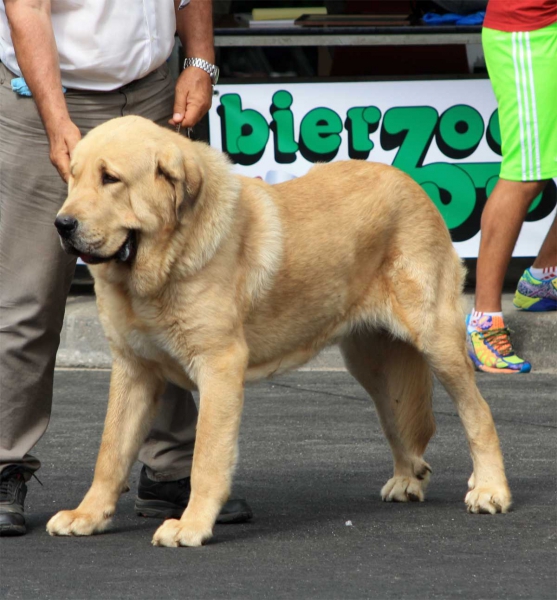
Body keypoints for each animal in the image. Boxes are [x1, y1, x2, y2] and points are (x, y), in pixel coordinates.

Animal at [47, 115, 512, 548]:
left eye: (111, 178)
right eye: (73, 177)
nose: (62, 224)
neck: (165, 262)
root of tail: (411, 183)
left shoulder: (219, 367)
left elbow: (206, 458)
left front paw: (192, 524)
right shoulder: (133, 369)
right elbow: (110, 451)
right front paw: (88, 515)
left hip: (436, 341)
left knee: (478, 412)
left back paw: (491, 489)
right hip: (373, 364)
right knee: (398, 420)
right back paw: (408, 478)